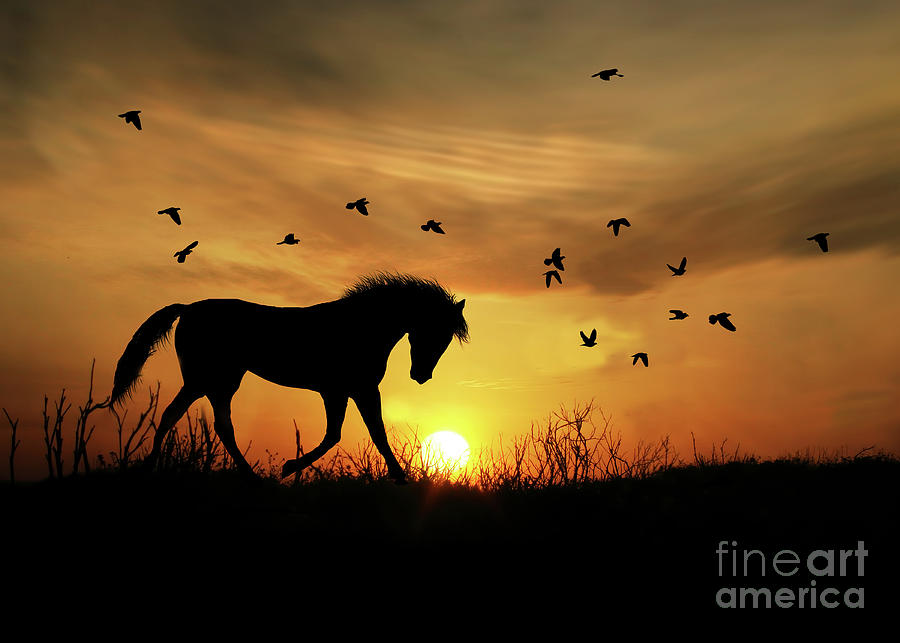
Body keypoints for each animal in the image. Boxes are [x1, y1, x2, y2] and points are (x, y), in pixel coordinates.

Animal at [109, 272, 468, 484]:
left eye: (447, 339)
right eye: (435, 331)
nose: (421, 376)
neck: (361, 326)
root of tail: (188, 308)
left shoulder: (342, 391)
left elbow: (338, 435)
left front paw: (289, 466)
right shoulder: (356, 389)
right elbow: (369, 434)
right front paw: (401, 479)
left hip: (220, 381)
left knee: (214, 424)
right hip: (207, 379)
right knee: (181, 416)